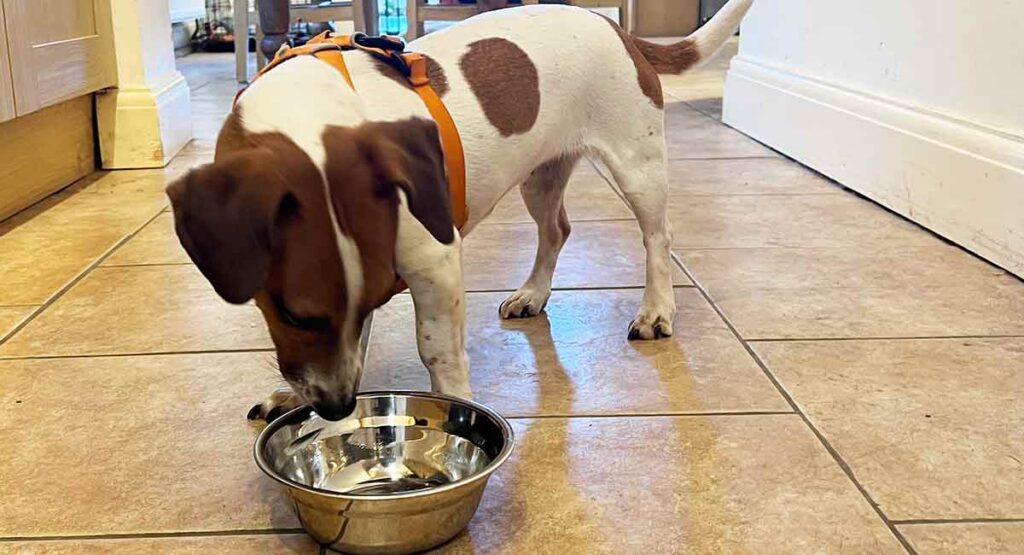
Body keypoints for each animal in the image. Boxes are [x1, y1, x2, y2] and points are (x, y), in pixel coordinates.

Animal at [167, 1, 757, 421]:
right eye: (291, 315)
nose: (336, 408)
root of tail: (618, 30)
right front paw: (293, 398)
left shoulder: (434, 262)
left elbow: (438, 352)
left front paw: (454, 404)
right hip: (541, 177)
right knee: (557, 231)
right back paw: (533, 293)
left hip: (638, 168)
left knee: (658, 239)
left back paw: (656, 309)